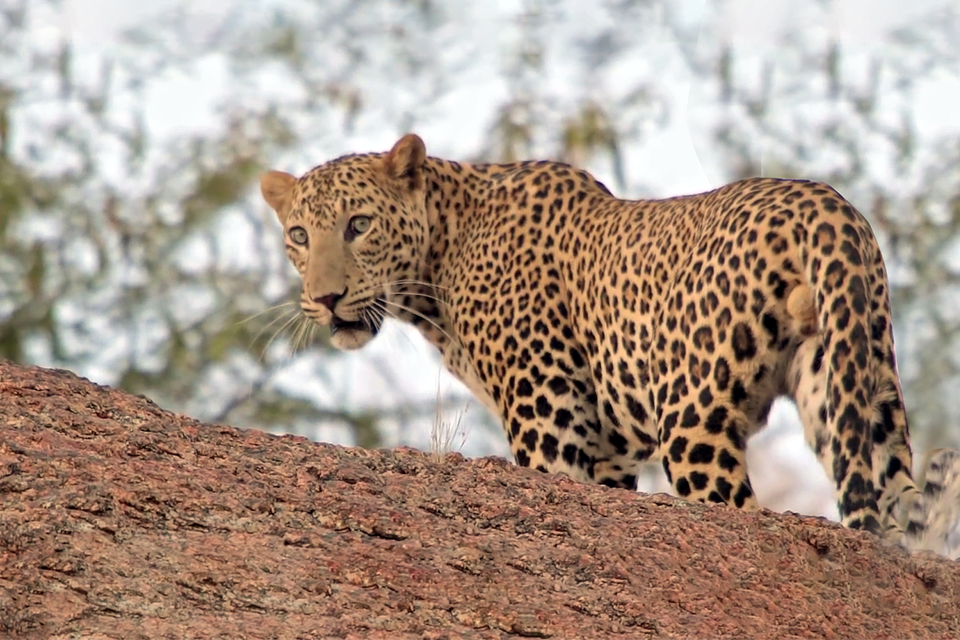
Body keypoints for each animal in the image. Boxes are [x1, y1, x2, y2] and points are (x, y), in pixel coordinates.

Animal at [258, 132, 960, 552]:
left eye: (358, 225)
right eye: (298, 235)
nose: (324, 299)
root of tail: (824, 203)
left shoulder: (549, 427)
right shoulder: (609, 455)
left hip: (695, 421)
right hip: (856, 378)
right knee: (900, 498)